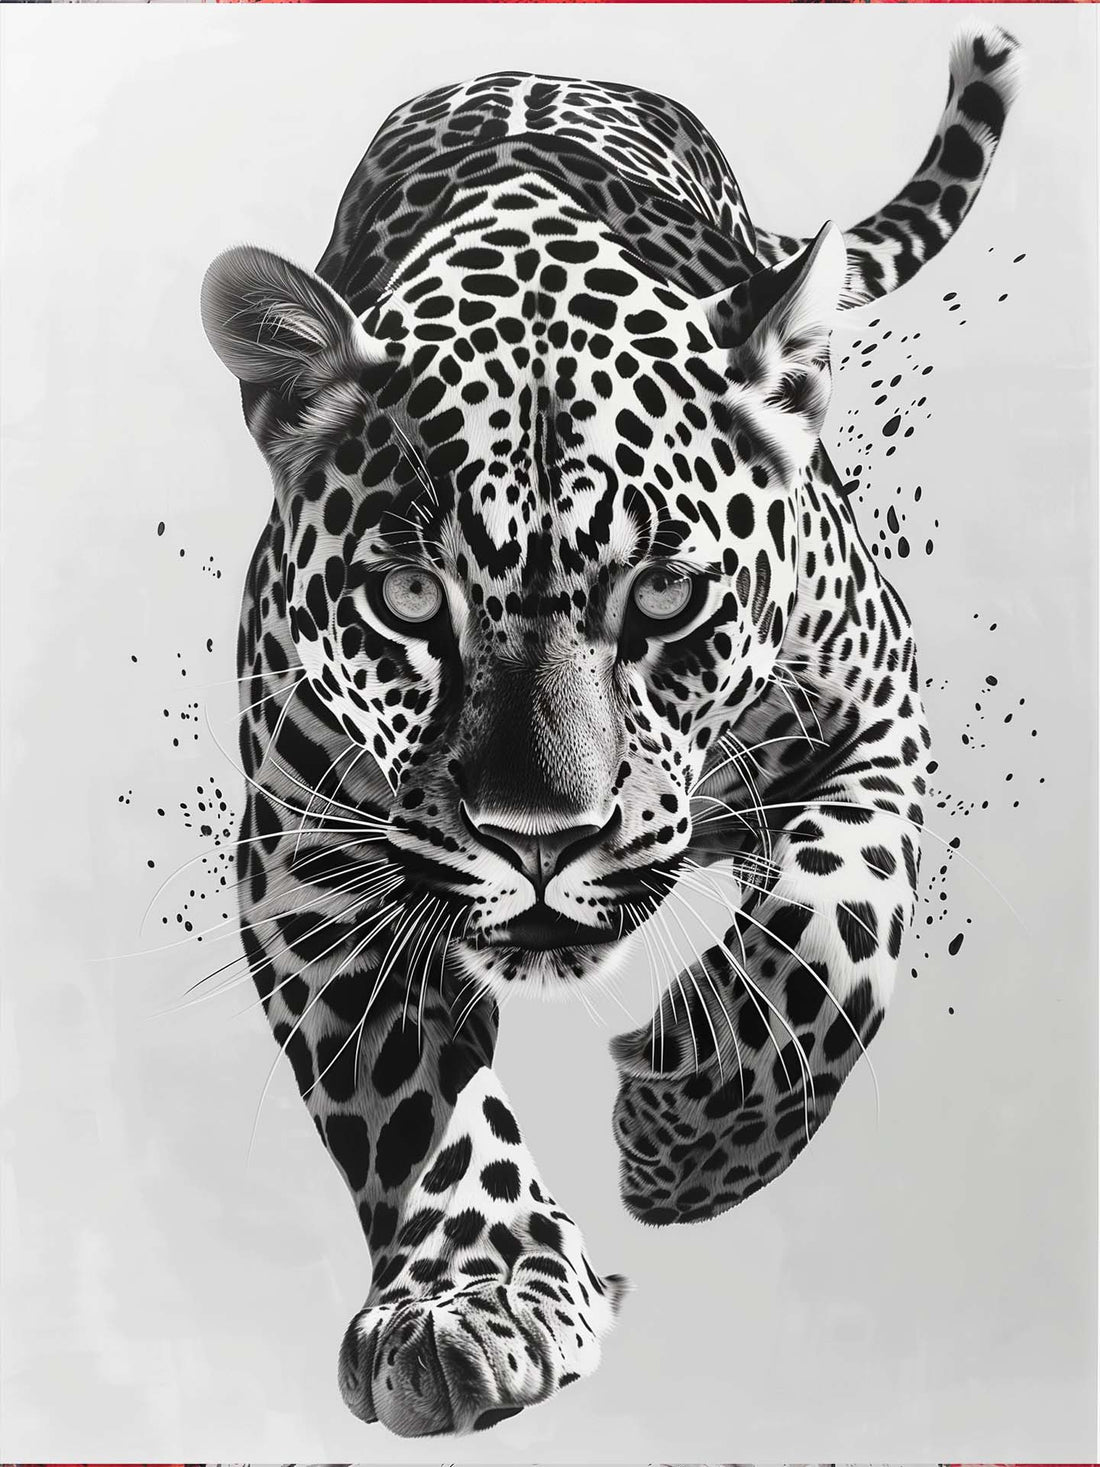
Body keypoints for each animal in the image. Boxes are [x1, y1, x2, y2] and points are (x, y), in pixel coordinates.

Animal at [200, 25, 1021, 1438]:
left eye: (663, 595)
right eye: (408, 598)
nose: (539, 839)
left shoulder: (876, 717)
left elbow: (829, 938)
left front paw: (686, 1143)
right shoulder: (306, 855)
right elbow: (408, 1092)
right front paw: (472, 1298)